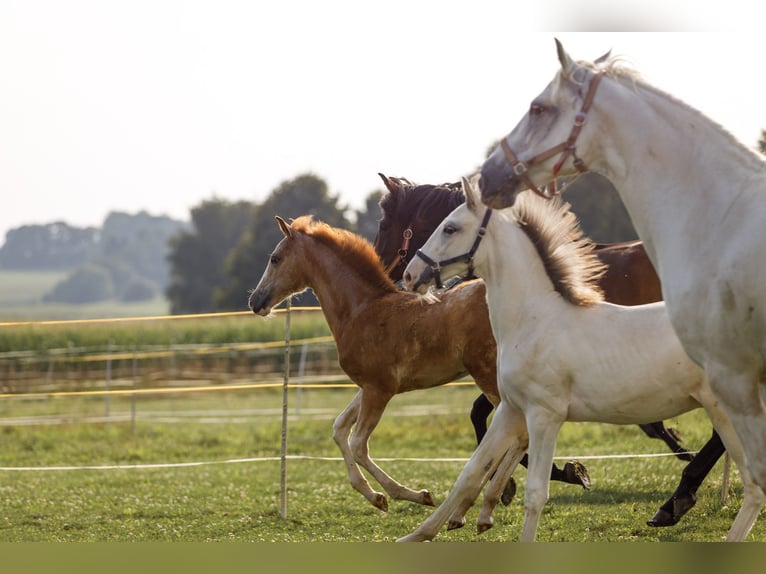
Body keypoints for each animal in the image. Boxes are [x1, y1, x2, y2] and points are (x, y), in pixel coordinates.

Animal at [398, 177, 757, 542]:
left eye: (450, 227)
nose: (410, 275)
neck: (535, 319)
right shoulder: (510, 411)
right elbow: (469, 473)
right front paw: (416, 536)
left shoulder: (545, 416)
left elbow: (536, 493)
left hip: (726, 414)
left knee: (755, 485)